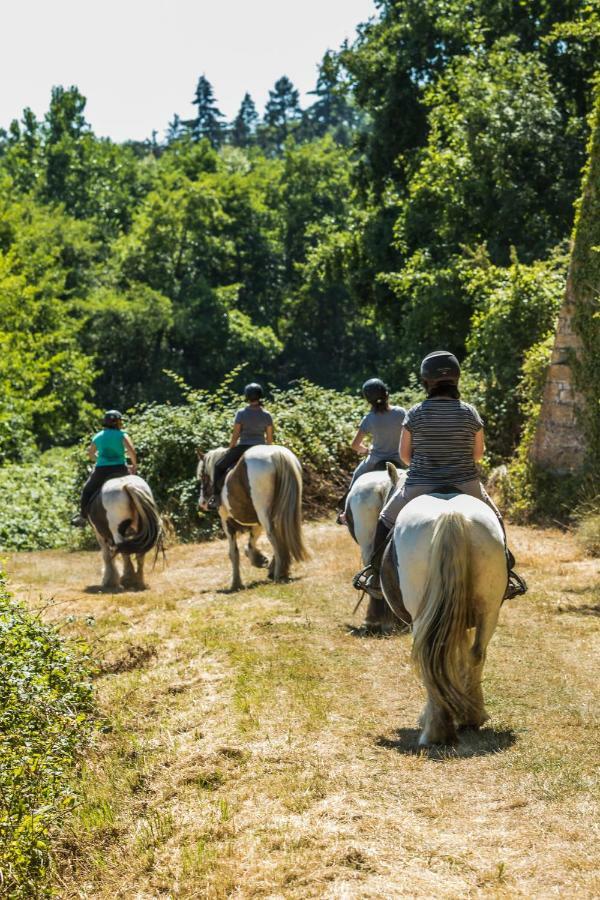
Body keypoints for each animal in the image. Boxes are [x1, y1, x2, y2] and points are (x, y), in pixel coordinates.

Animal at [198, 442, 310, 592]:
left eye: (202, 475)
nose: (202, 503)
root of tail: (276, 454)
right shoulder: (256, 523)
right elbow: (250, 545)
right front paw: (261, 560)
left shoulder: (226, 521)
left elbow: (233, 553)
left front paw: (236, 583)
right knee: (281, 533)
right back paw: (279, 569)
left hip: (263, 512)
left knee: (273, 536)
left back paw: (278, 573)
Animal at [380, 492, 506, 744]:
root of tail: (450, 514)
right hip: (489, 610)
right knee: (476, 654)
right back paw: (470, 717)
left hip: (422, 615)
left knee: (428, 657)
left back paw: (435, 731)